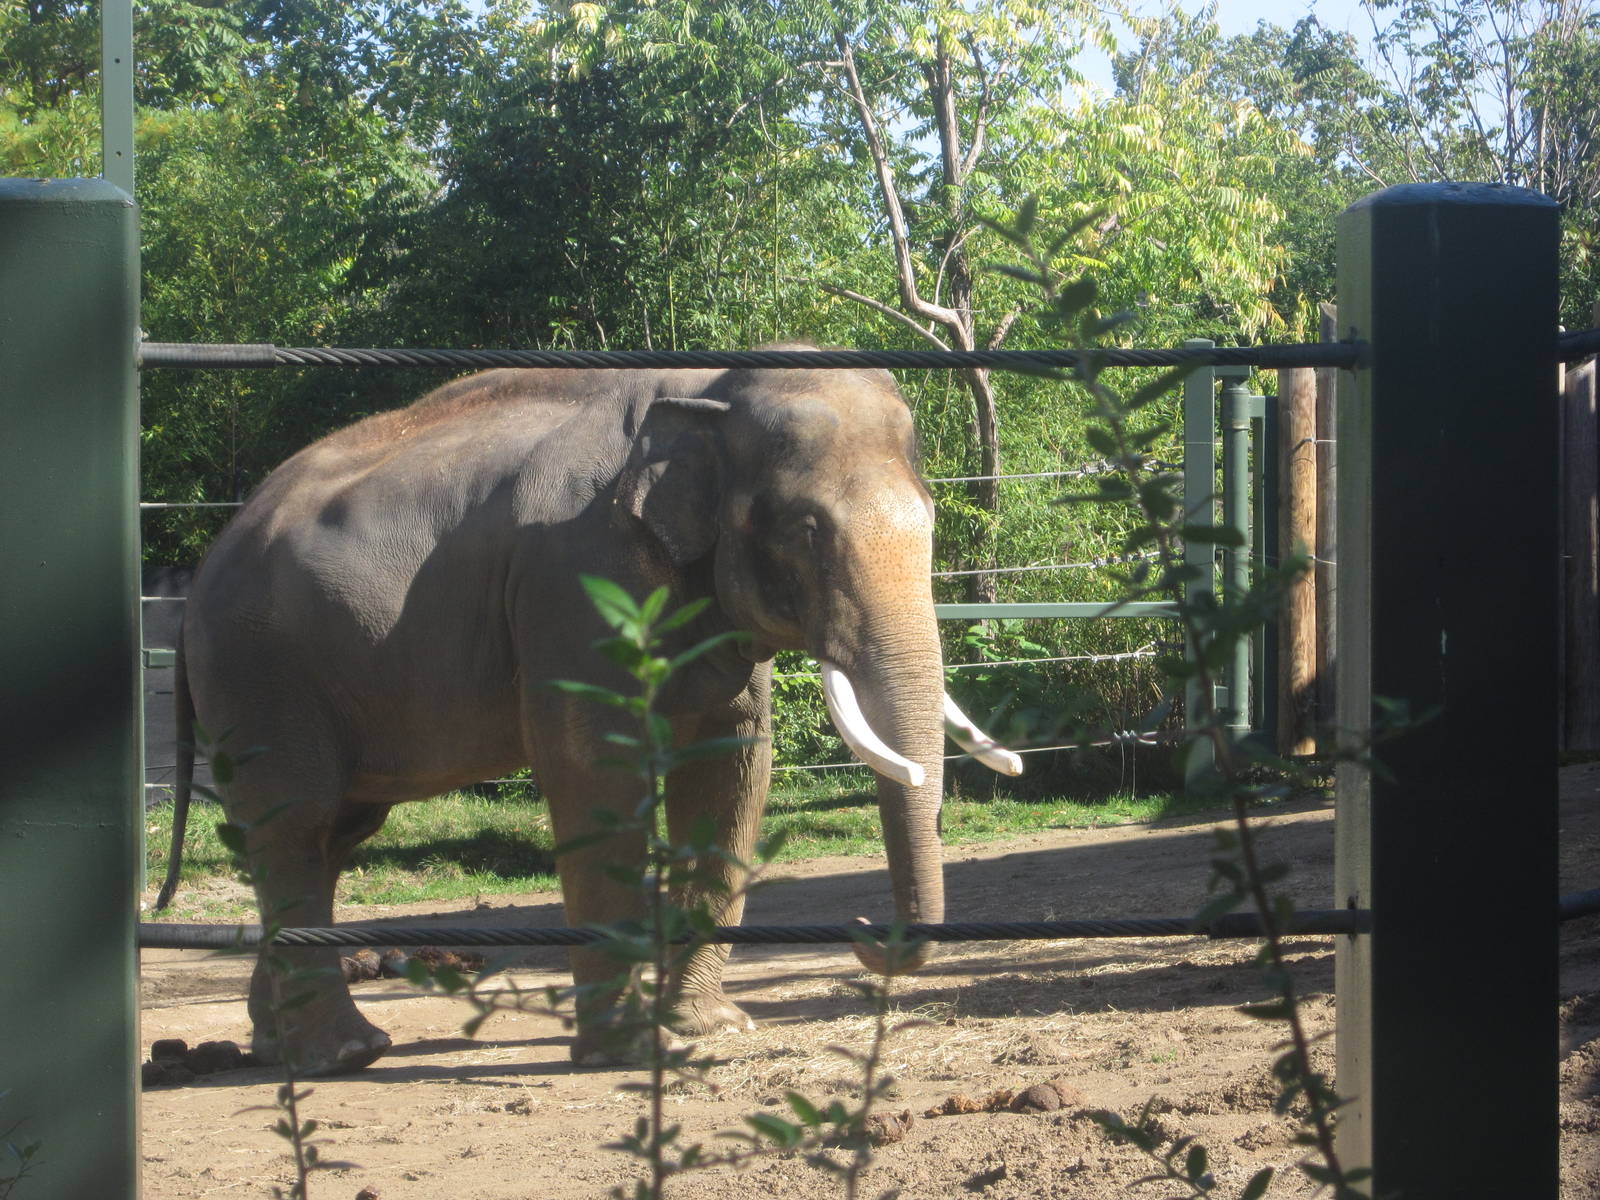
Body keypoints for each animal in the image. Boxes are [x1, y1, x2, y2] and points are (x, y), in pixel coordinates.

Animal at [155, 348, 1022, 1075]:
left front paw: (713, 1029)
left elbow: (731, 767)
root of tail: (196, 581)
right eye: (807, 530)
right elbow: (596, 768)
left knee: (333, 835)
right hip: (260, 675)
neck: (706, 390)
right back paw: (347, 1053)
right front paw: (632, 1053)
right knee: (297, 827)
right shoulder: (576, 580)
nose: (867, 932)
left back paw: (280, 1047)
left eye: (931, 517)